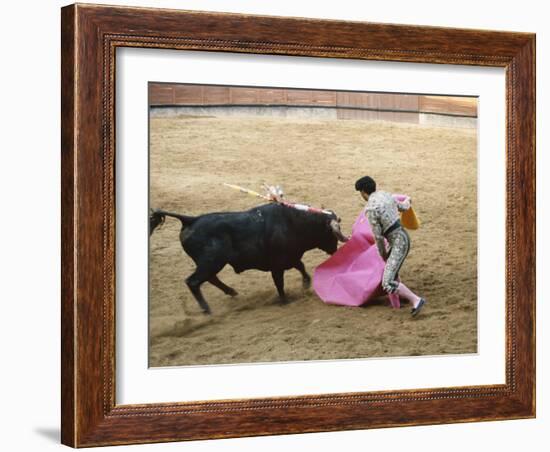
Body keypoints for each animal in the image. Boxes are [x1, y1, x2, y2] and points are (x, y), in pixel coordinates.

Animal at [150, 203, 350, 312]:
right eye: (332, 233)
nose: (335, 250)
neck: (295, 222)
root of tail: (191, 219)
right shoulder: (277, 265)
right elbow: (280, 283)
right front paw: (284, 301)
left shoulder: (290, 257)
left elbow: (300, 266)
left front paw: (305, 284)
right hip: (212, 261)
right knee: (193, 281)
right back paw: (207, 309)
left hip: (210, 263)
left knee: (209, 278)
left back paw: (231, 292)